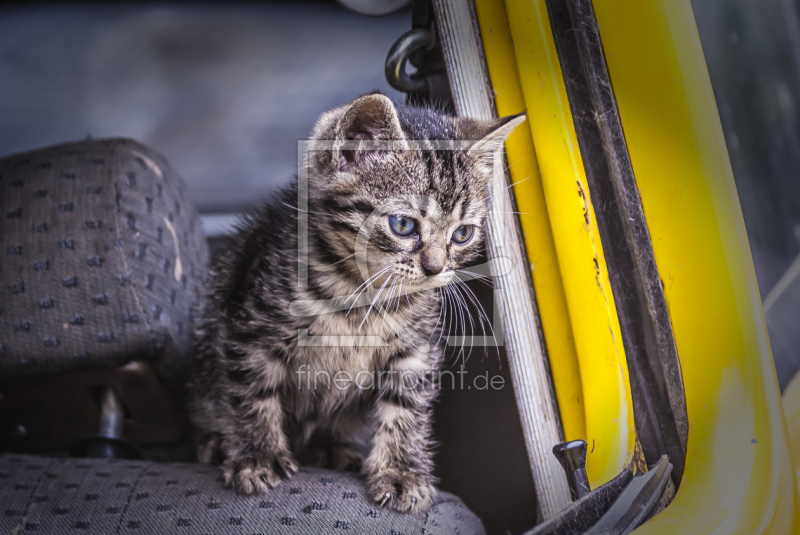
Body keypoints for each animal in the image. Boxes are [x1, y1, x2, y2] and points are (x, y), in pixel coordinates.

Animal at [188, 93, 524, 516]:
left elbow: (406, 408)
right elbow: (252, 392)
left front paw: (401, 472)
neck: (364, 294)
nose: (435, 269)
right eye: (403, 225)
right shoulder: (252, 327)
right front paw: (256, 454)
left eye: (462, 234)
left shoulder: (415, 348)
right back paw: (217, 441)